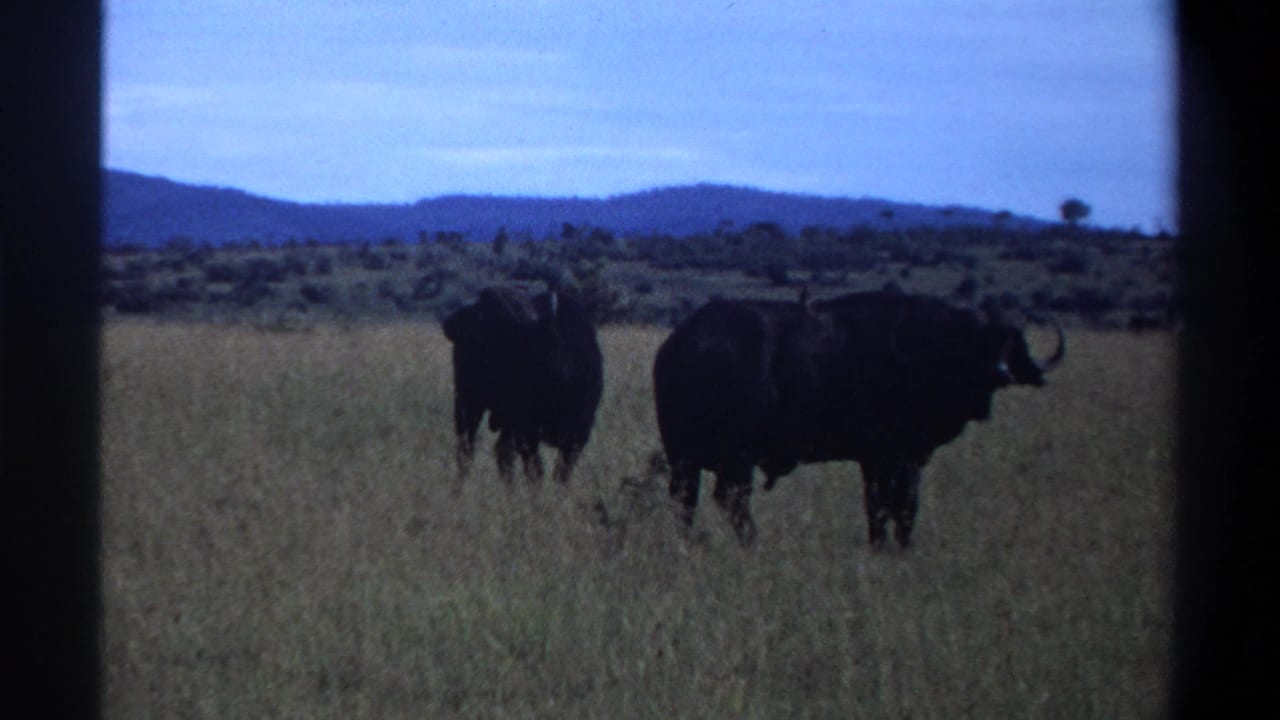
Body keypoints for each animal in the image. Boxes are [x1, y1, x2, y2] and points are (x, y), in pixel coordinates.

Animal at [442, 286, 604, 483]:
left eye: (489, 314)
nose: (449, 324)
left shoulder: (578, 434)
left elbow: (562, 473)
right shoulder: (527, 431)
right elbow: (536, 471)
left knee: (500, 454)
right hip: (468, 405)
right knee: (467, 450)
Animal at [653, 290, 1064, 548]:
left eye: (1008, 341)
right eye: (970, 340)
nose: (999, 372)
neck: (918, 358)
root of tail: (683, 344)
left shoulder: (892, 459)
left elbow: (892, 505)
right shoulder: (887, 457)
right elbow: (891, 504)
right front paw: (890, 546)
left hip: (684, 458)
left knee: (685, 500)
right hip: (735, 458)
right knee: (731, 500)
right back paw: (753, 543)